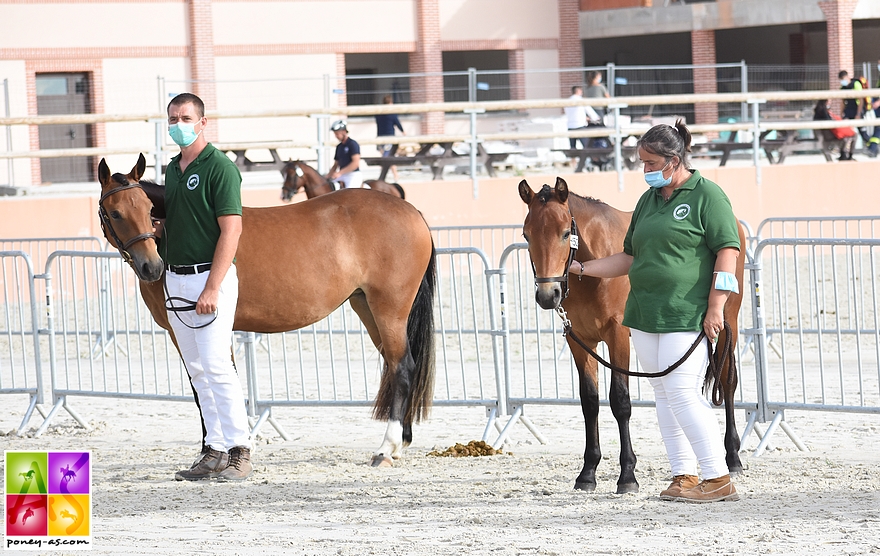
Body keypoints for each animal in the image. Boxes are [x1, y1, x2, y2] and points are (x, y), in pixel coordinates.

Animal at [520, 177, 744, 490]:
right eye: (527, 236)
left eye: (565, 233)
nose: (547, 295)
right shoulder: (580, 341)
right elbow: (590, 402)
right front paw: (587, 472)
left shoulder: (617, 336)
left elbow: (620, 401)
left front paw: (627, 475)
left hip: (726, 324)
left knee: (727, 381)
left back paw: (732, 458)